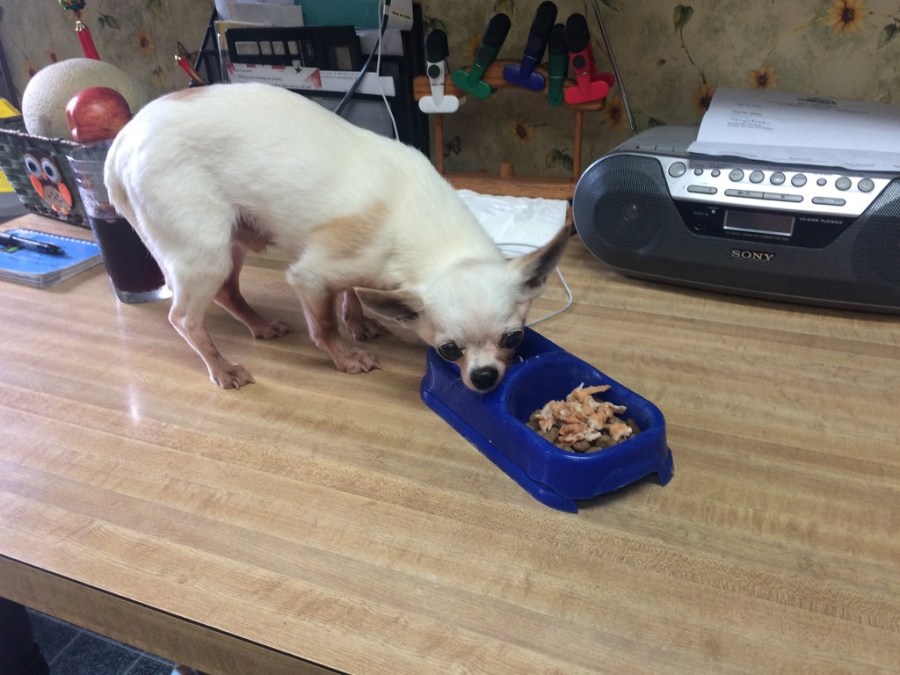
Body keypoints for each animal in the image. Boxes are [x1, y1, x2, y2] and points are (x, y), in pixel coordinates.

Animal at [104, 82, 570, 391]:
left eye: (514, 338)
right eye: (448, 350)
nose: (486, 377)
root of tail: (121, 142)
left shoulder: (354, 270)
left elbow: (350, 292)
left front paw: (359, 321)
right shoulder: (310, 277)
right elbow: (324, 324)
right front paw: (346, 356)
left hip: (232, 240)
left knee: (227, 292)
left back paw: (260, 325)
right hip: (206, 250)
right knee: (184, 318)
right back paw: (221, 368)